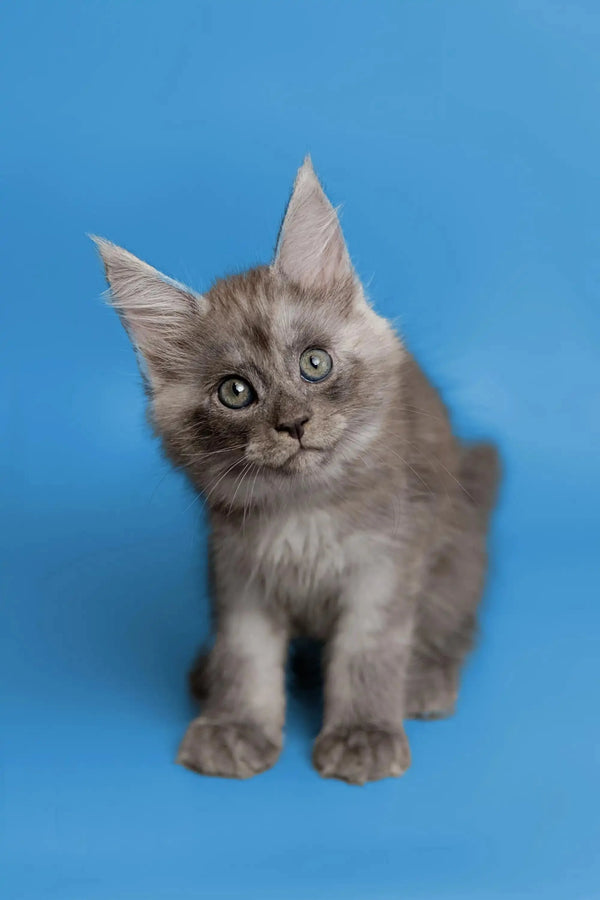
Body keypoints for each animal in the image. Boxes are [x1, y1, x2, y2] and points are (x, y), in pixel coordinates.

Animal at [94, 158, 500, 784]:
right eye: (235, 392)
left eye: (314, 363)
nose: (294, 423)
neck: (305, 509)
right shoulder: (236, 571)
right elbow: (245, 655)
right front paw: (235, 726)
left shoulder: (387, 563)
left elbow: (369, 649)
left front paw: (363, 734)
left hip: (455, 557)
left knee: (454, 625)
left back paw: (424, 680)